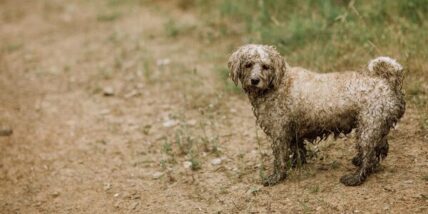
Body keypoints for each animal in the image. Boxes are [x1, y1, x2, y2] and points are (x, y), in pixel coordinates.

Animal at [227, 44, 404, 186]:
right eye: (248, 64)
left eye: (265, 66)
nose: (254, 80)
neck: (279, 84)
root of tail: (386, 82)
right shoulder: (292, 130)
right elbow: (297, 150)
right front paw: (296, 165)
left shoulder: (279, 132)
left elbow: (280, 159)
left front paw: (276, 177)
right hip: (376, 125)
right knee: (380, 148)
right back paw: (360, 161)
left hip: (368, 127)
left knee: (370, 155)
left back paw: (355, 177)